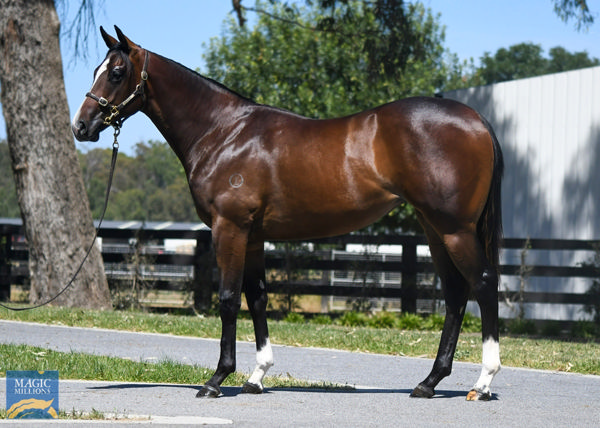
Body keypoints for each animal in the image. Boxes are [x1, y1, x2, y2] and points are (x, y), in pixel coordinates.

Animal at [72, 27, 504, 402]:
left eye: (116, 72)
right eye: (95, 70)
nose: (81, 126)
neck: (223, 132)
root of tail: (477, 120)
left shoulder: (229, 228)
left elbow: (228, 299)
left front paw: (216, 379)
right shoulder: (253, 236)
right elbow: (258, 297)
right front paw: (256, 376)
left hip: (454, 229)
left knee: (482, 284)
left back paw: (482, 383)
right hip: (434, 228)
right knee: (455, 293)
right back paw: (429, 382)